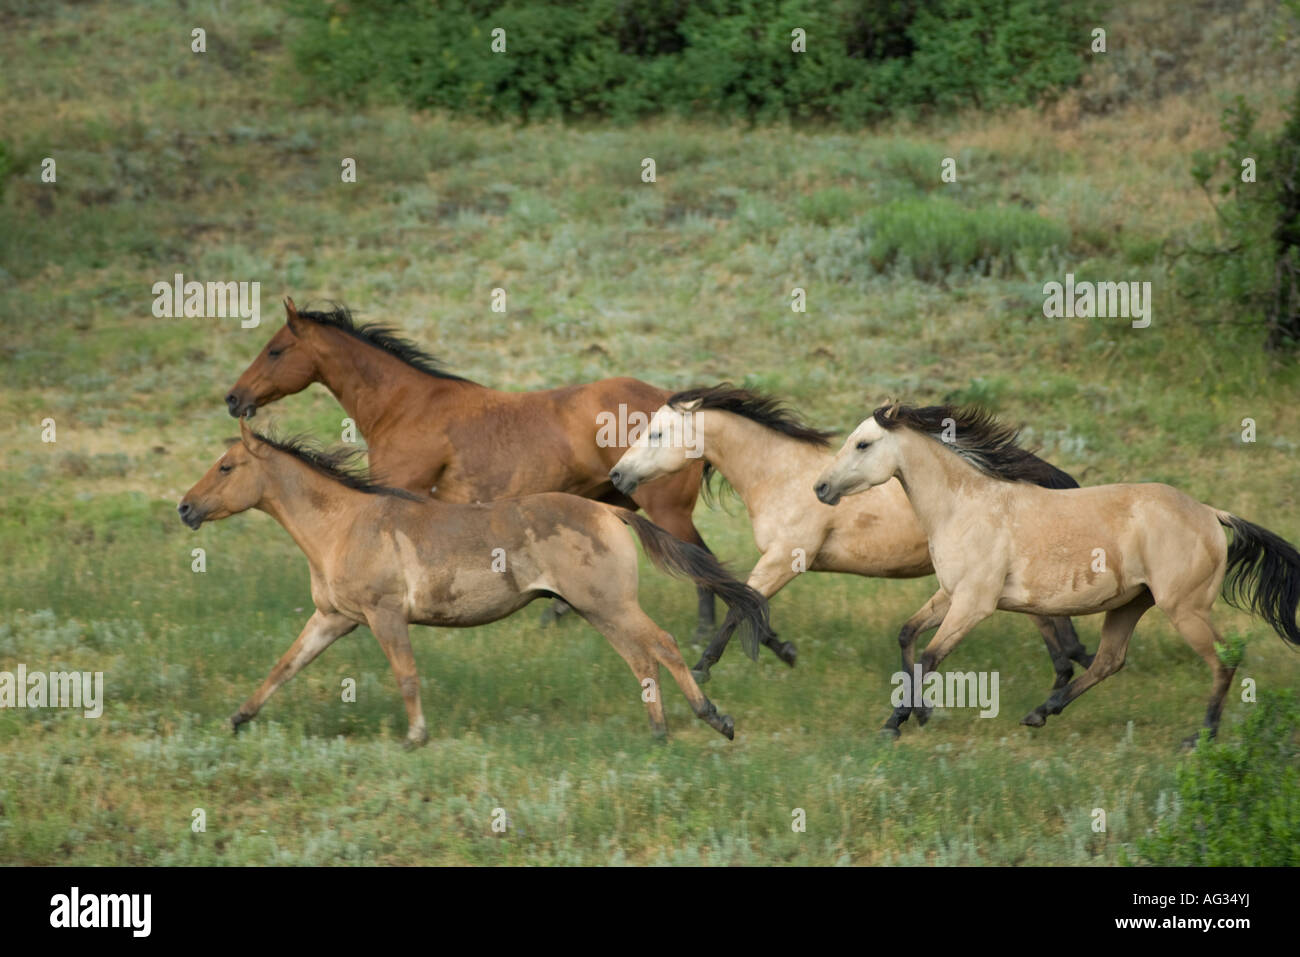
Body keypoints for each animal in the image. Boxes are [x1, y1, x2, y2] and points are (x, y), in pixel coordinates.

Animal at [178, 418, 775, 746]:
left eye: (226, 467)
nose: (185, 507)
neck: (346, 524)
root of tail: (612, 512)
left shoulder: (384, 615)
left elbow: (406, 675)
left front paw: (416, 737)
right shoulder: (333, 619)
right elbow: (284, 666)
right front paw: (237, 719)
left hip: (609, 605)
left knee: (665, 647)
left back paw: (713, 719)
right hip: (596, 610)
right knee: (642, 660)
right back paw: (659, 731)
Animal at [223, 298, 720, 642]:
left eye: (275, 350)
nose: (233, 397)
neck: (407, 407)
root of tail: (679, 406)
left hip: (666, 509)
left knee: (702, 559)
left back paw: (703, 634)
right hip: (614, 497)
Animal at [607, 385, 1093, 700]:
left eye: (656, 433)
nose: (616, 475)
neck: (779, 474)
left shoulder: (785, 558)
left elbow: (739, 608)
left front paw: (703, 669)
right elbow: (748, 605)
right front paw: (785, 652)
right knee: (1051, 627)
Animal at [814, 401, 1300, 744]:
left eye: (862, 444)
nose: (820, 487)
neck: (965, 506)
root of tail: (1210, 514)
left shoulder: (974, 604)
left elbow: (931, 657)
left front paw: (907, 717)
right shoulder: (951, 594)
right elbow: (907, 635)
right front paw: (906, 716)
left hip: (1185, 608)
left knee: (1223, 659)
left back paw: (1201, 737)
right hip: (1131, 604)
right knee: (1108, 661)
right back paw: (1040, 713)